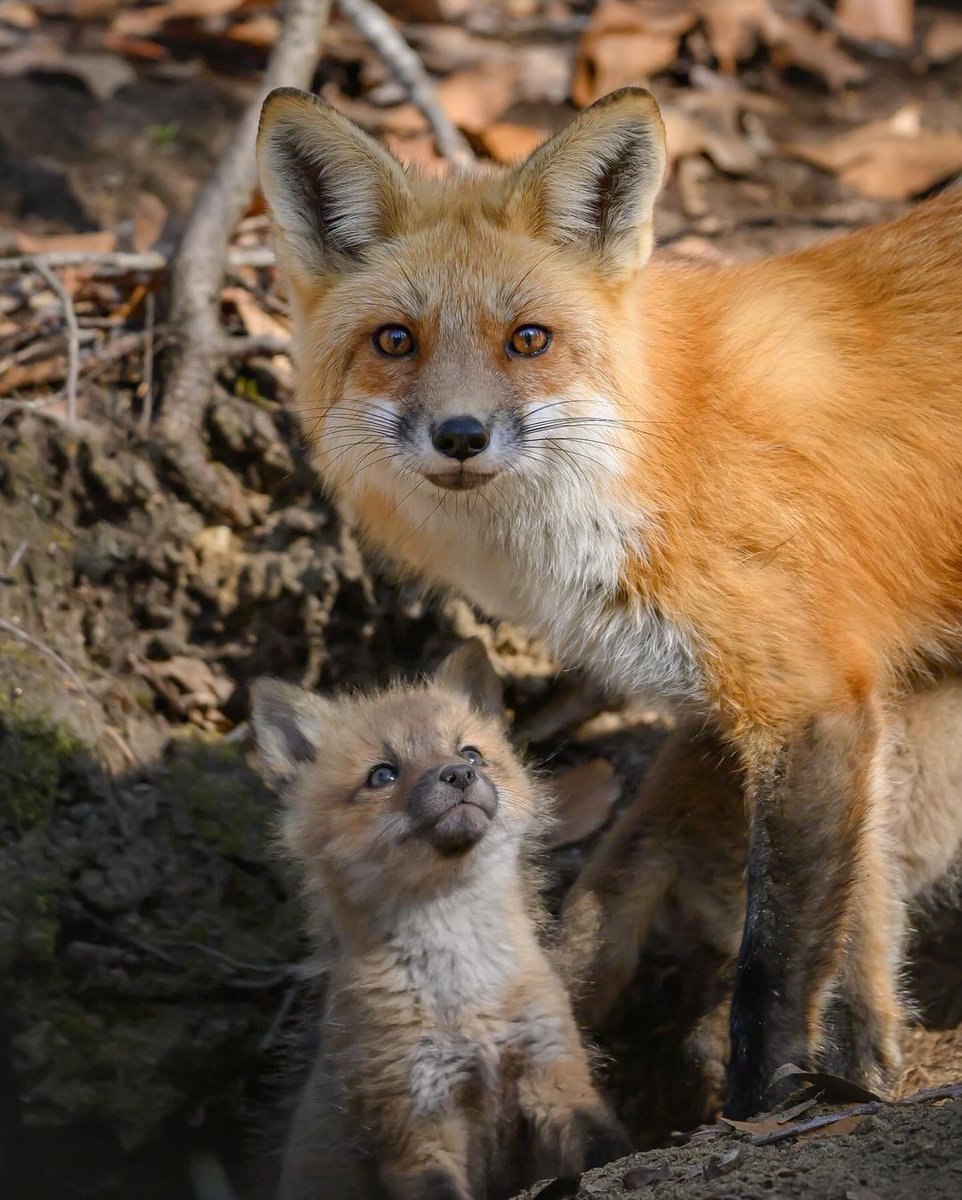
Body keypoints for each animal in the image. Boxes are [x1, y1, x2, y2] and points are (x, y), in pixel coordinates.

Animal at [254, 88, 959, 1118]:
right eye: (395, 341)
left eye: (528, 340)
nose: (459, 435)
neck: (657, 446)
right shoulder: (853, 702)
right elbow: (861, 930)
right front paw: (867, 1068)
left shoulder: (809, 700)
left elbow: (776, 970)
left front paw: (758, 1107)